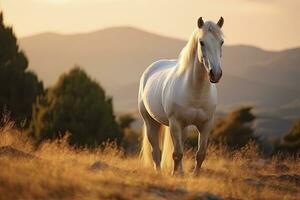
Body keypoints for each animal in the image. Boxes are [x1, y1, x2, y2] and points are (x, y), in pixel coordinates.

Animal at [138, 16, 223, 175]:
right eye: (201, 42)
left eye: (221, 42)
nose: (215, 74)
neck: (196, 92)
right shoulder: (175, 123)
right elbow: (177, 153)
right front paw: (174, 174)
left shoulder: (206, 125)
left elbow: (200, 154)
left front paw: (194, 176)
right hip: (151, 123)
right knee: (155, 151)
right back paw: (159, 172)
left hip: (184, 128)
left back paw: (181, 172)